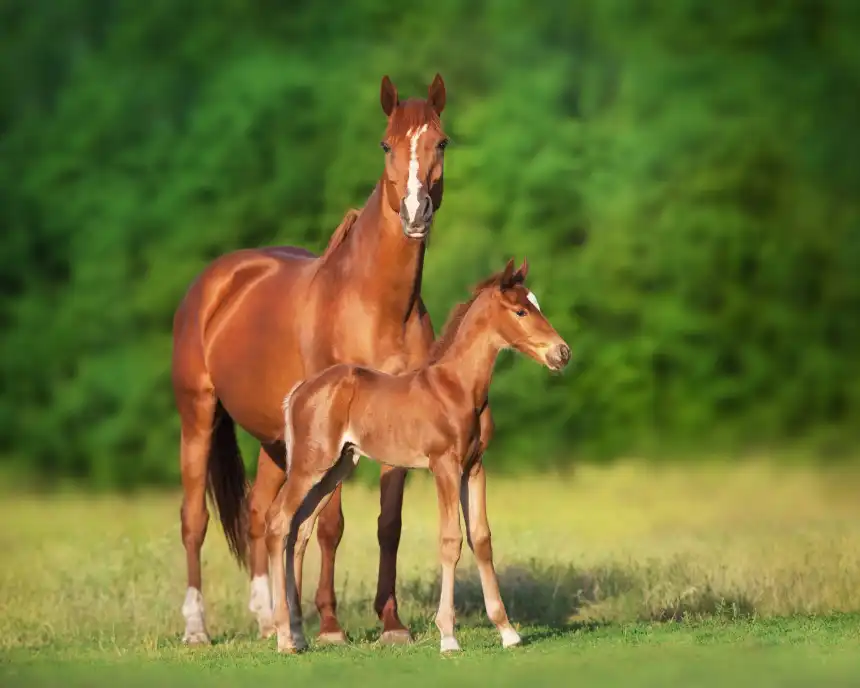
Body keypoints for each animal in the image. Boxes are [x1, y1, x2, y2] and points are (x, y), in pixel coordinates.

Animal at [172, 74, 490, 644]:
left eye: (442, 142)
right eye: (386, 145)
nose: (415, 212)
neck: (373, 303)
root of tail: (216, 280)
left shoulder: (397, 422)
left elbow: (389, 525)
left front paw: (391, 623)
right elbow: (330, 524)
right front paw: (328, 624)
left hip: (277, 442)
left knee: (260, 514)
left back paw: (266, 618)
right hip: (199, 415)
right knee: (194, 520)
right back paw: (197, 628)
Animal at [266, 260, 568, 656]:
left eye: (537, 305)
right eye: (521, 311)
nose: (562, 353)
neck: (457, 388)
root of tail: (299, 391)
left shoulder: (474, 468)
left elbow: (481, 539)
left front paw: (508, 632)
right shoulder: (444, 466)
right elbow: (451, 540)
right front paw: (448, 636)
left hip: (336, 468)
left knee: (299, 529)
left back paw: (299, 635)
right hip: (309, 465)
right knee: (278, 521)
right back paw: (284, 637)